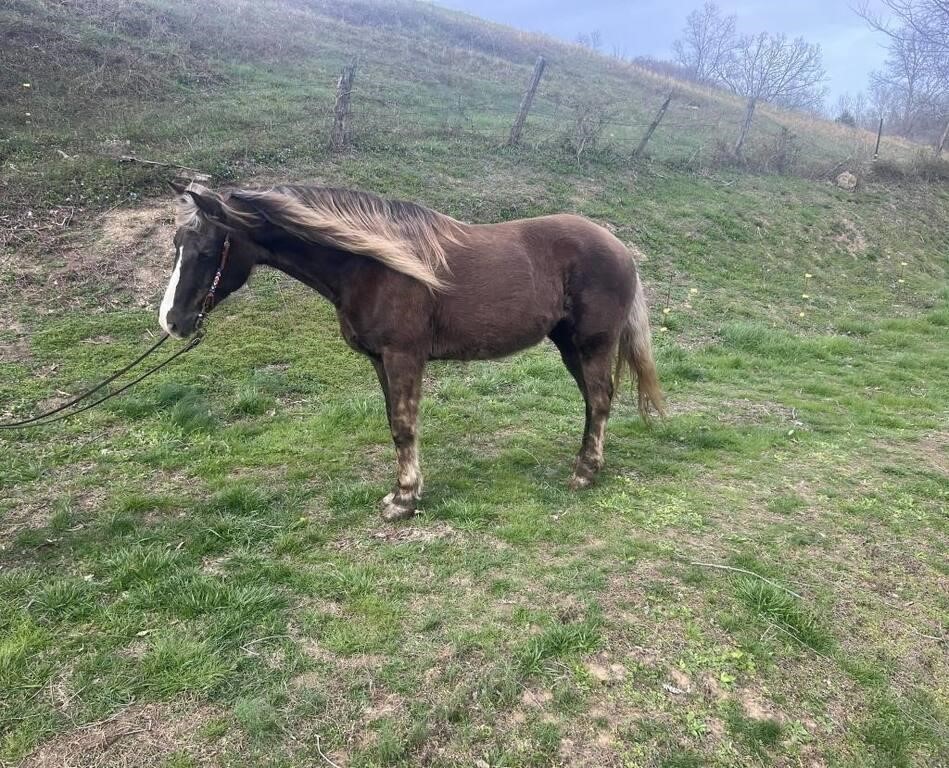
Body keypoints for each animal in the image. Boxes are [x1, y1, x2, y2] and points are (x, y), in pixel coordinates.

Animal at [159, 182, 664, 520]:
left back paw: (584, 473)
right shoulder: (381, 361)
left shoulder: (403, 357)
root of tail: (620, 248)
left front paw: (402, 500)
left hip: (592, 343)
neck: (372, 265)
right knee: (595, 401)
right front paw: (404, 491)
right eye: (178, 244)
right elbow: (394, 425)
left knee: (599, 400)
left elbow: (404, 427)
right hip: (569, 345)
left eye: (207, 250)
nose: (172, 322)